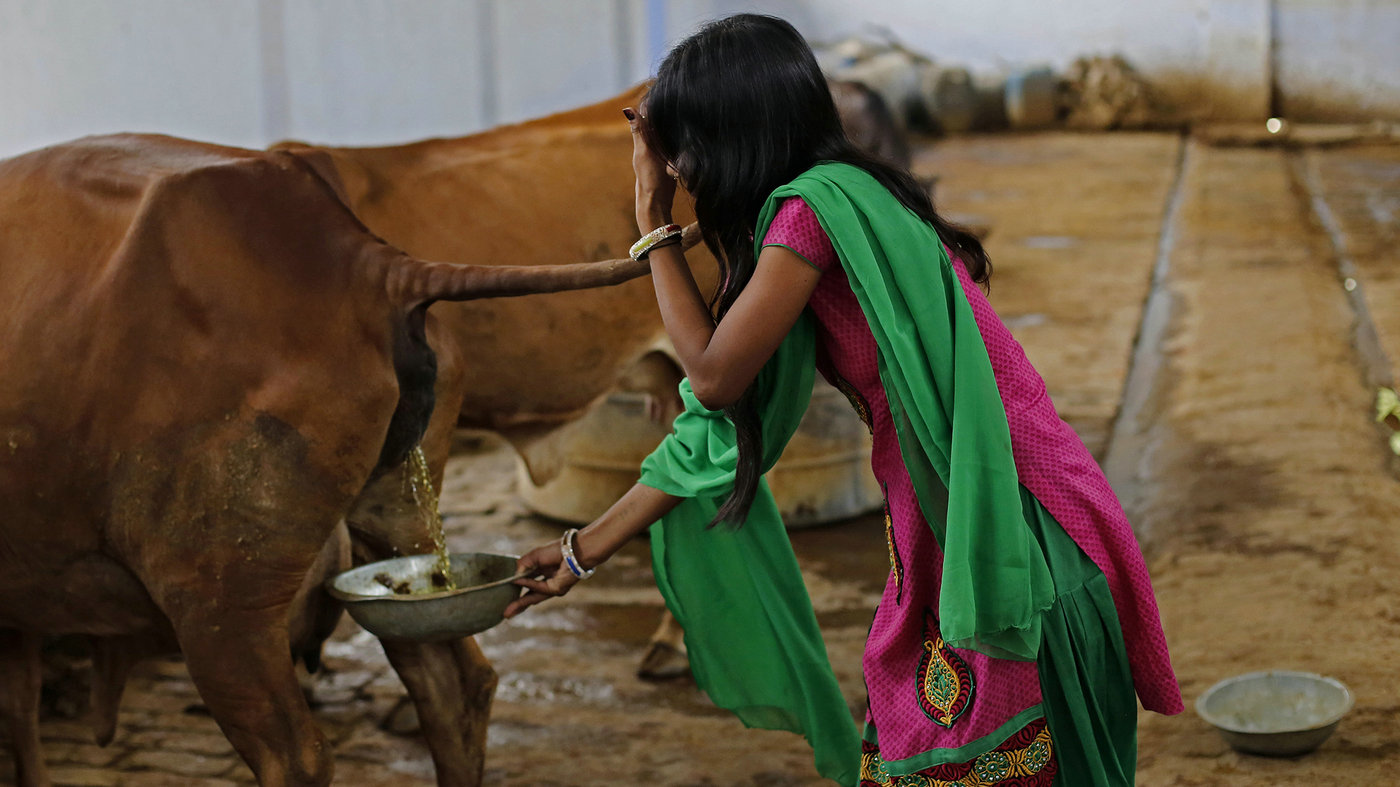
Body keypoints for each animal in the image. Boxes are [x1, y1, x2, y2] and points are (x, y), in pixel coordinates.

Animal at [0, 136, 646, 784]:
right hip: (398, 524)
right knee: (454, 682)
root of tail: (370, 265)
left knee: (295, 755)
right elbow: (20, 702)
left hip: (220, 605)